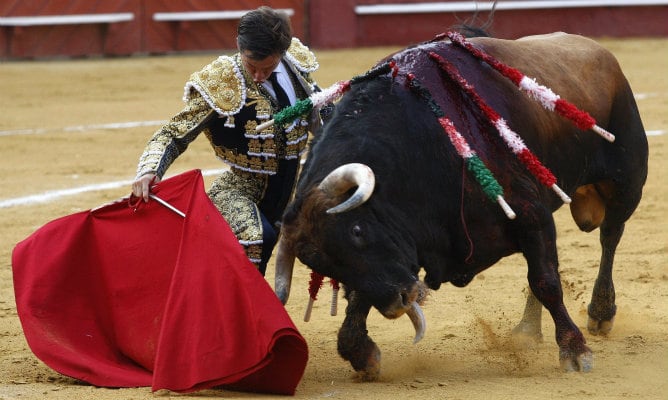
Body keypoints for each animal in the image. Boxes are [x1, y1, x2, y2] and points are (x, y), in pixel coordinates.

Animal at [272, 32, 648, 380]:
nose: (400, 302)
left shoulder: (531, 214)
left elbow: (546, 280)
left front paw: (575, 350)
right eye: (321, 264)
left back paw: (600, 313)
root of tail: (598, 51)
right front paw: (361, 353)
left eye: (357, 230)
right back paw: (528, 330)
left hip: (626, 182)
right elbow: (360, 294)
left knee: (609, 236)